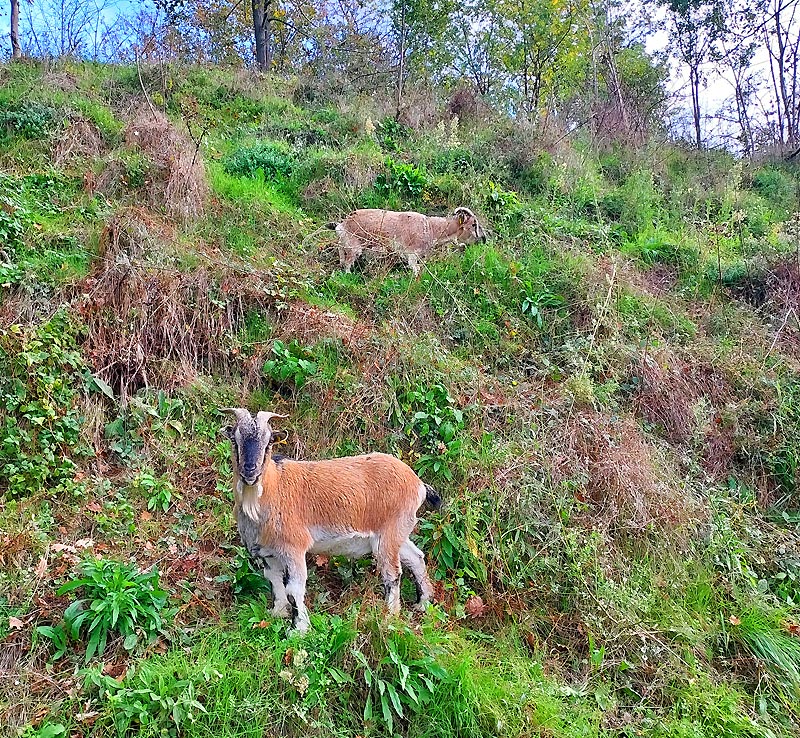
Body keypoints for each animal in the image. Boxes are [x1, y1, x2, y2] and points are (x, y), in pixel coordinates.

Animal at [222, 406, 440, 628]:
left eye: (268, 443)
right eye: (236, 441)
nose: (250, 471)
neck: (273, 488)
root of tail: (418, 483)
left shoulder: (293, 548)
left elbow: (294, 589)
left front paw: (299, 629)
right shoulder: (268, 553)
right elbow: (274, 581)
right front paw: (278, 613)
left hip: (389, 533)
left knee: (392, 573)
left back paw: (389, 617)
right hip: (399, 532)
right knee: (416, 558)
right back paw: (423, 603)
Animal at [326, 206, 488, 274]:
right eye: (474, 224)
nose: (483, 239)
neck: (431, 228)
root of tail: (343, 224)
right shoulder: (412, 255)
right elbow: (416, 271)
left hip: (345, 243)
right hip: (355, 247)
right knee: (347, 264)